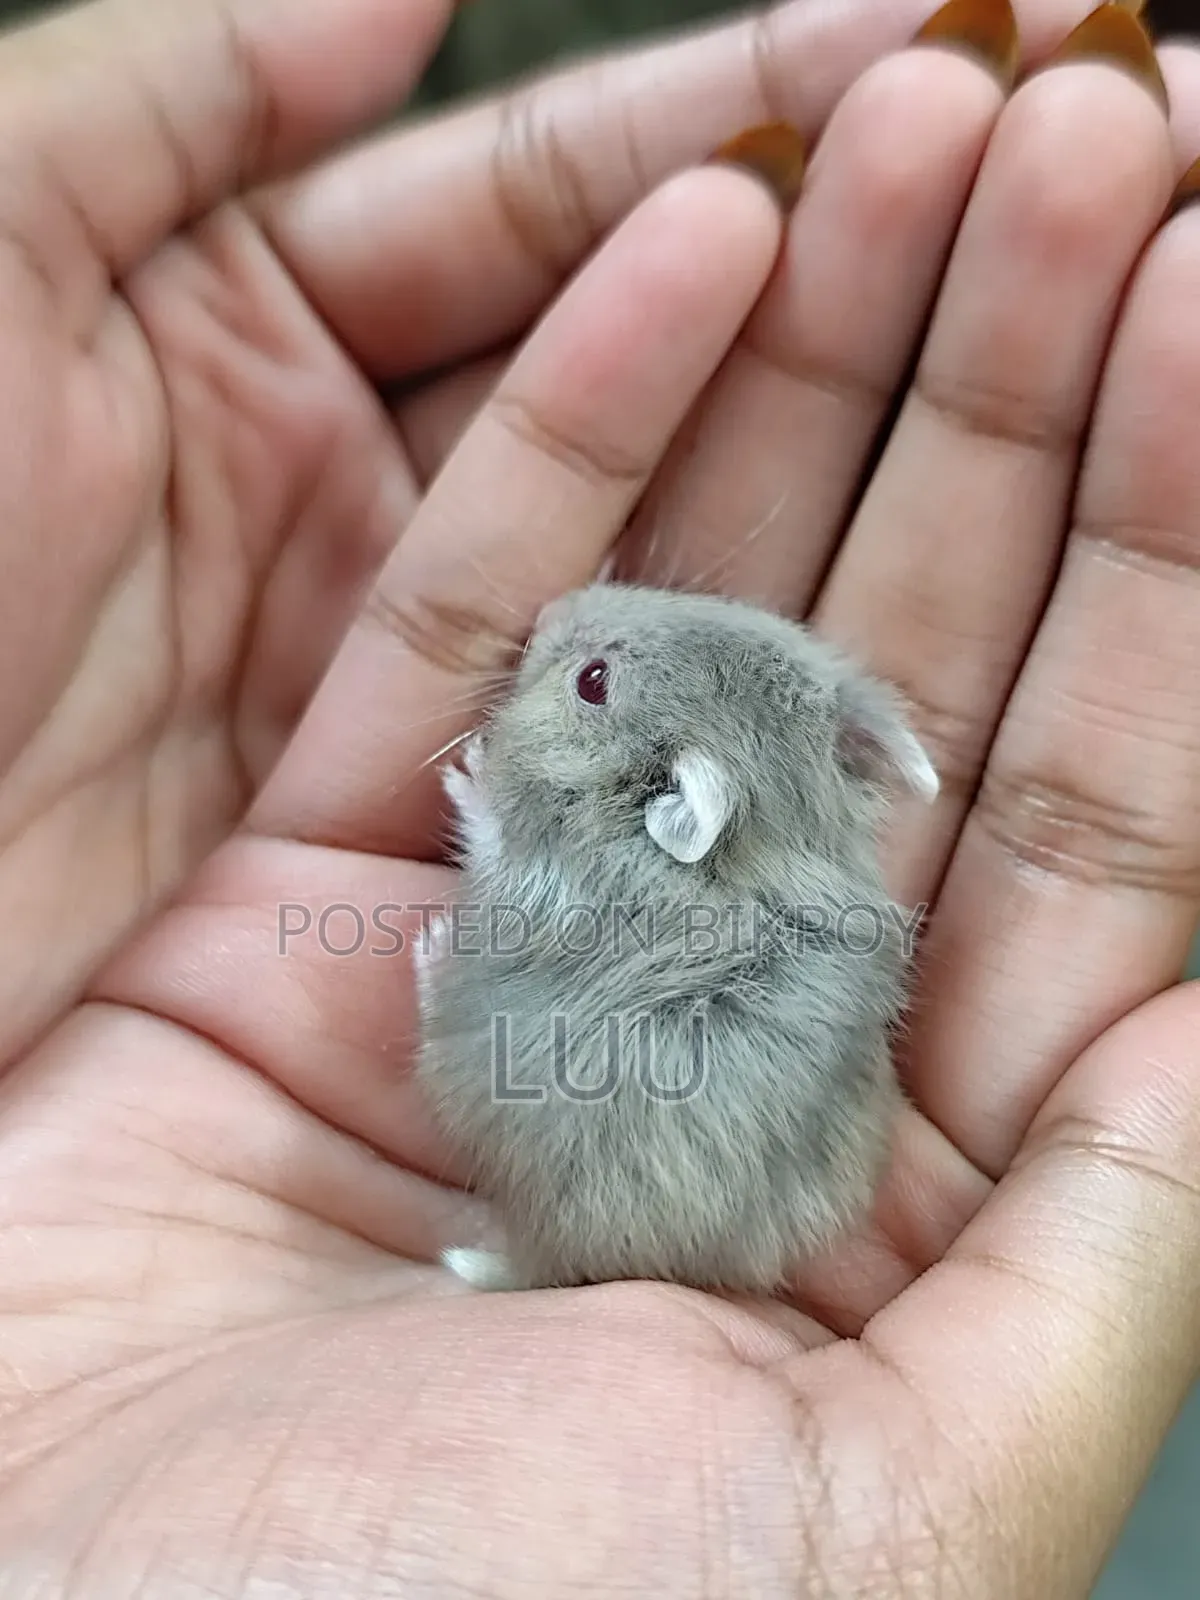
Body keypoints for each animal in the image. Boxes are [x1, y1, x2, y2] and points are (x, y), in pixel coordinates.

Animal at [414, 583, 938, 1296]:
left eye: (594, 681)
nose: (549, 612)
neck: (764, 840)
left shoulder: (538, 868)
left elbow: (486, 831)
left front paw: (464, 769)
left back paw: (430, 943)